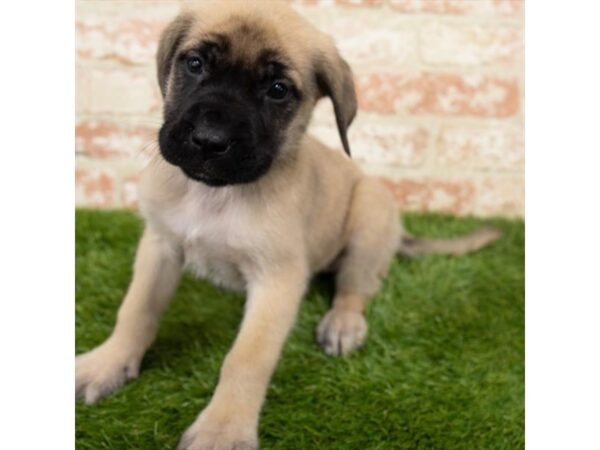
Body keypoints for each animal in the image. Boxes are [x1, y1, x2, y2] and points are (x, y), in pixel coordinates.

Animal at [75, 1, 500, 448]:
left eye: (277, 90)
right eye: (194, 64)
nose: (209, 140)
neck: (215, 195)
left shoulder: (278, 280)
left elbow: (247, 358)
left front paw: (224, 427)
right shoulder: (160, 245)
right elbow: (135, 311)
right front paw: (107, 363)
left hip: (369, 215)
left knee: (355, 288)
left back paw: (343, 324)